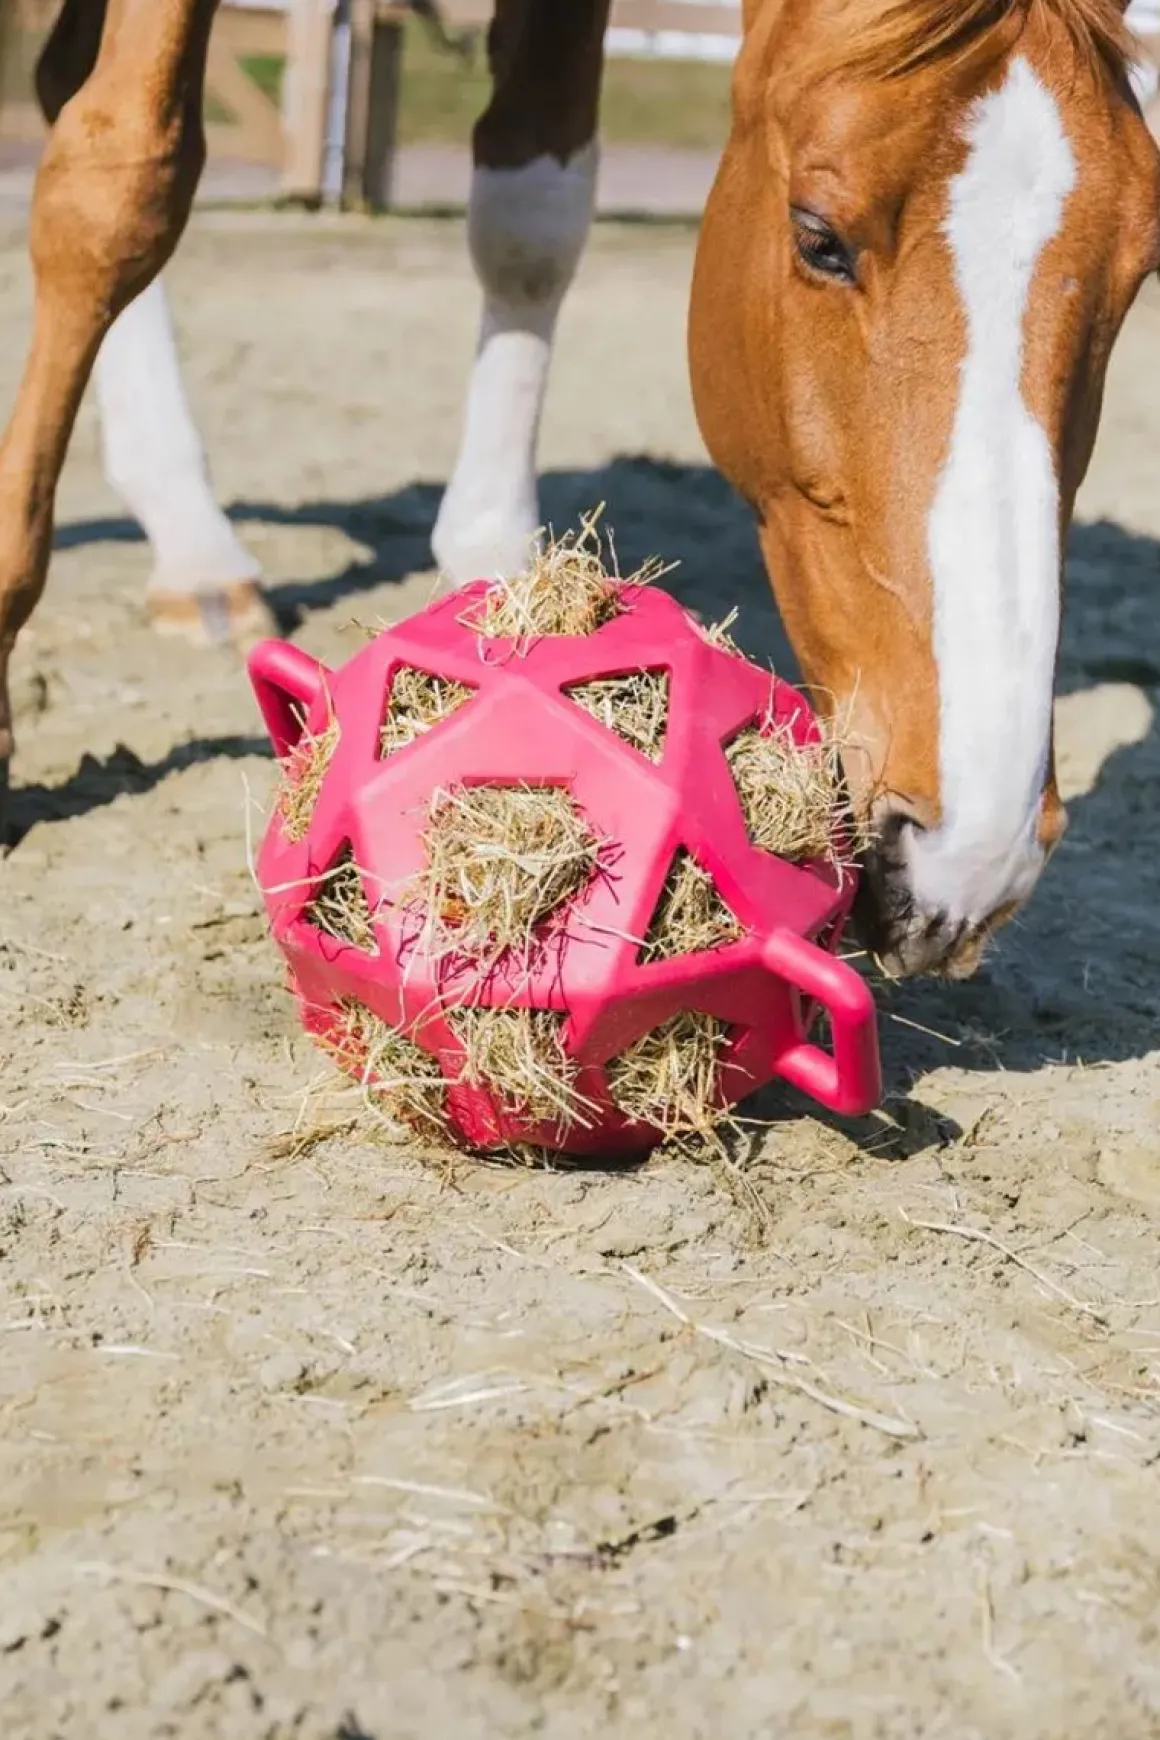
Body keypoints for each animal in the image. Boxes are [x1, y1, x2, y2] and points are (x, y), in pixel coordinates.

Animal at [0, 1, 1157, 982]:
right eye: (818, 238)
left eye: (1134, 275)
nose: (972, 856)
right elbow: (118, 184)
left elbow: (532, 207)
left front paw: (501, 569)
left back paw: (193, 546)